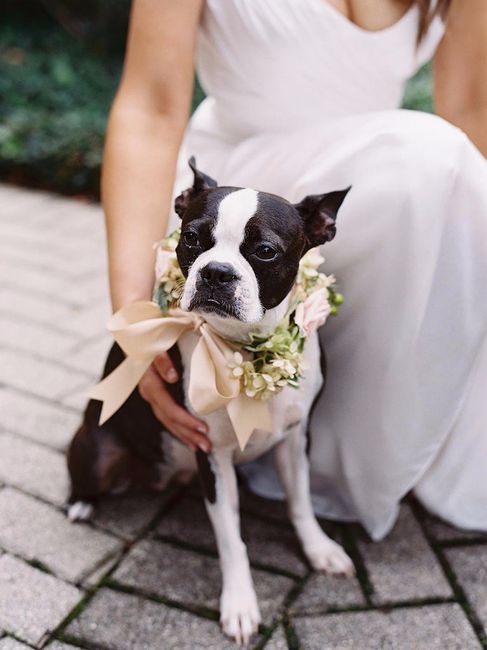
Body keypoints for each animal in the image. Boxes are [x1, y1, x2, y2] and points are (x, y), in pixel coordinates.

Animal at [66, 158, 352, 644]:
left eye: (265, 251)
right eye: (192, 238)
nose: (216, 271)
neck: (245, 350)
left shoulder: (296, 440)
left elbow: (300, 502)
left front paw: (319, 549)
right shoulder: (211, 454)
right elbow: (231, 539)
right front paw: (239, 605)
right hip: (97, 452)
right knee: (83, 474)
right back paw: (81, 503)